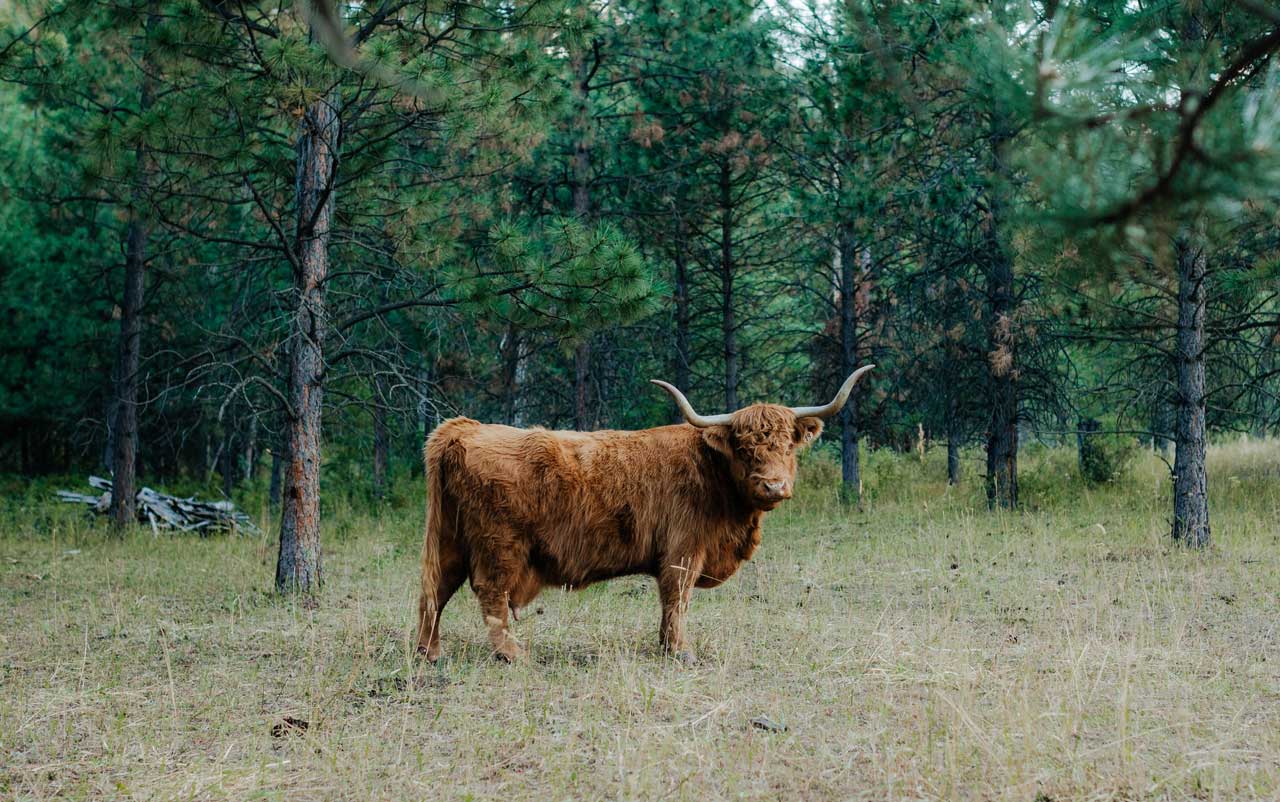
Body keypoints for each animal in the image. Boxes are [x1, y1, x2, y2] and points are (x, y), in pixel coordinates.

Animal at [414, 368, 875, 660]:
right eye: (744, 448)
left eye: (788, 445)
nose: (774, 486)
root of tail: (463, 428)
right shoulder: (683, 551)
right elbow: (677, 599)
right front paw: (679, 651)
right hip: (499, 545)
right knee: (488, 592)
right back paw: (512, 655)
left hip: (450, 538)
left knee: (435, 590)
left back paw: (429, 653)